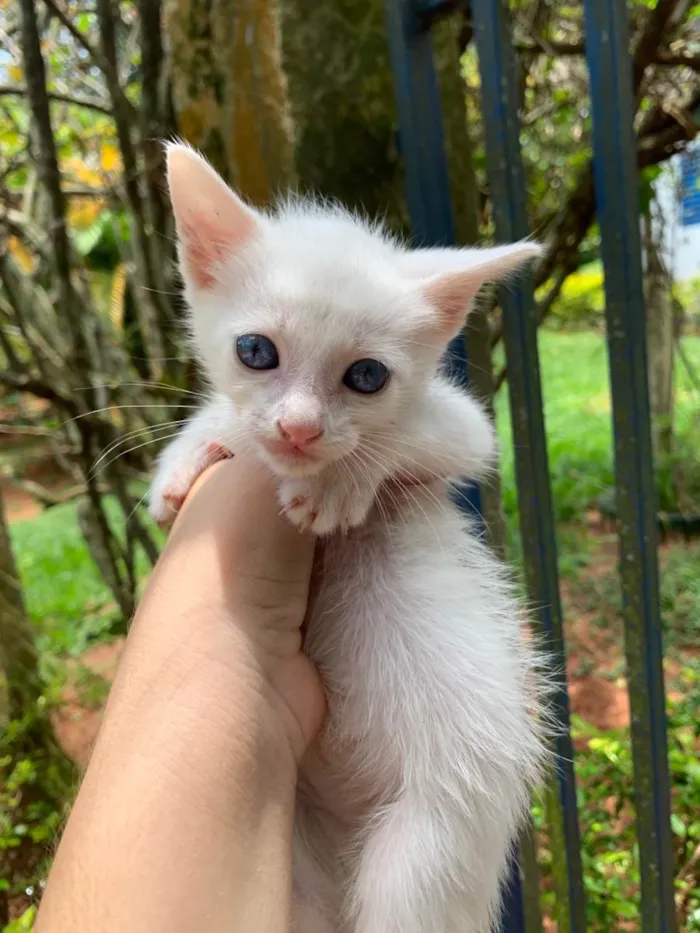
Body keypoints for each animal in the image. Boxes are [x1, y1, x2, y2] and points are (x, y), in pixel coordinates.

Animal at [150, 140, 548, 932]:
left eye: (366, 376)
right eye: (256, 350)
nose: (299, 429)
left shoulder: (461, 423)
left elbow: (408, 439)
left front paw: (337, 483)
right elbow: (227, 420)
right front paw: (185, 462)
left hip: (427, 847)